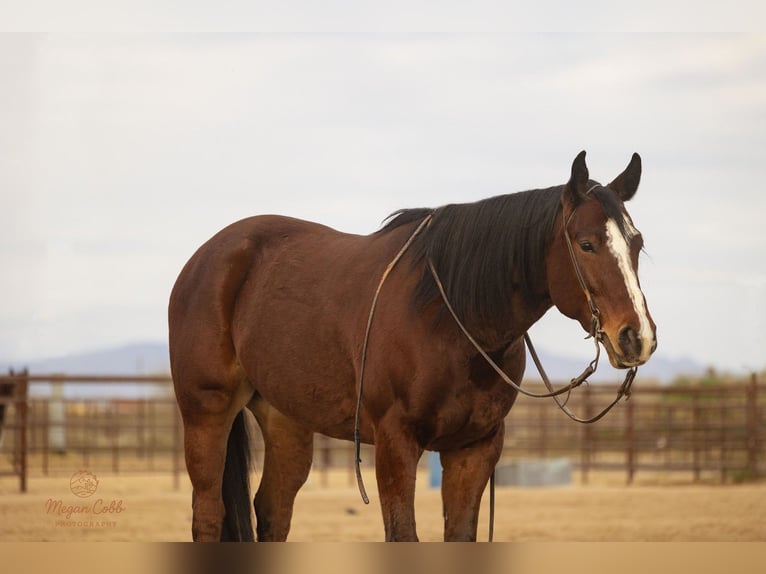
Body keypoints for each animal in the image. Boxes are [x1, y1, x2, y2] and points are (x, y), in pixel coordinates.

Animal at [168, 151, 657, 542]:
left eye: (636, 244)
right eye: (587, 244)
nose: (637, 336)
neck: (450, 320)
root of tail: (209, 256)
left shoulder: (474, 448)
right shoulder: (395, 444)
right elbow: (403, 535)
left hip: (285, 420)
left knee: (272, 512)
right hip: (206, 413)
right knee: (208, 515)